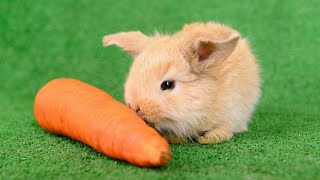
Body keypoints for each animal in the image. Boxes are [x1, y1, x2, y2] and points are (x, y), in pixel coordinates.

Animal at [102, 21, 260, 144]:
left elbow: (225, 128)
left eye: (167, 85)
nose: (134, 107)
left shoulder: (233, 112)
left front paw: (208, 138)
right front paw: (175, 138)